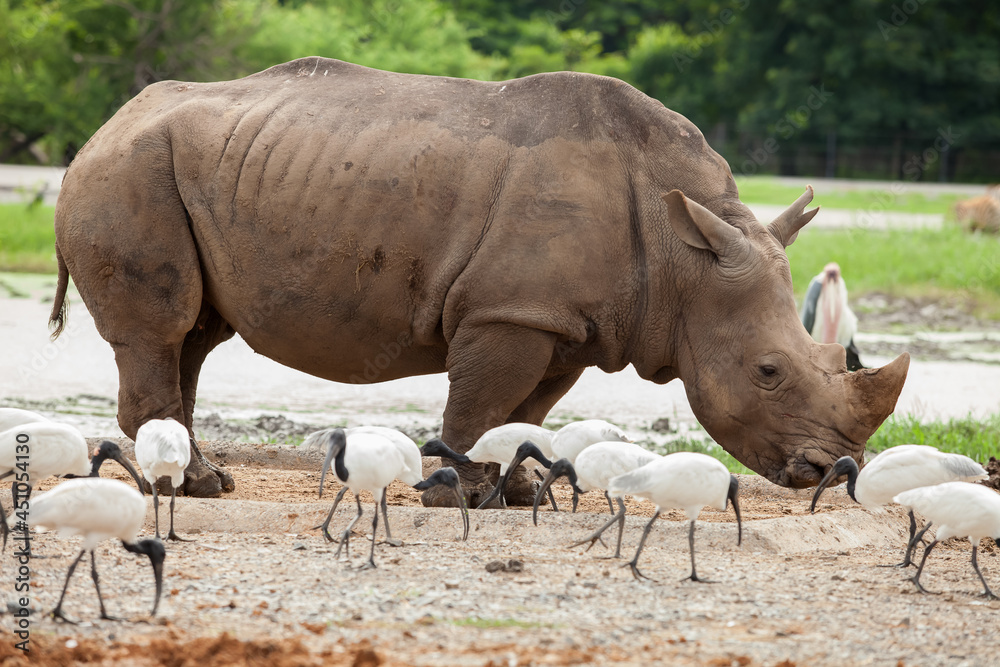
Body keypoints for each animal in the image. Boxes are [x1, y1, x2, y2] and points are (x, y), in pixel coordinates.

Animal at [50, 57, 909, 504]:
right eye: (768, 372)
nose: (838, 470)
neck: (683, 256)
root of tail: (99, 130)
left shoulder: (565, 322)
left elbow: (525, 410)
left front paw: (519, 493)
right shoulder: (510, 310)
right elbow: (482, 399)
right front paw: (457, 493)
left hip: (182, 169)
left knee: (195, 336)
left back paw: (205, 480)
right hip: (128, 171)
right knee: (164, 330)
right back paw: (187, 489)